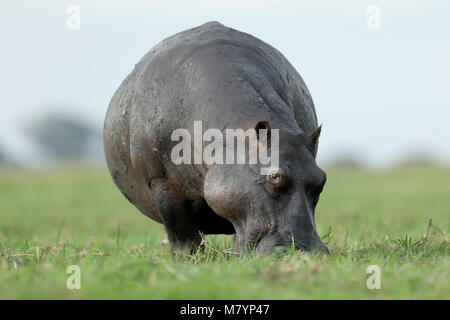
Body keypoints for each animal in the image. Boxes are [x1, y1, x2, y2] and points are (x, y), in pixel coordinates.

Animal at [103, 21, 328, 256]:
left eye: (322, 179)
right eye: (274, 176)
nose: (304, 251)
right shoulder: (161, 181)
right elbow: (181, 231)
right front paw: (187, 259)